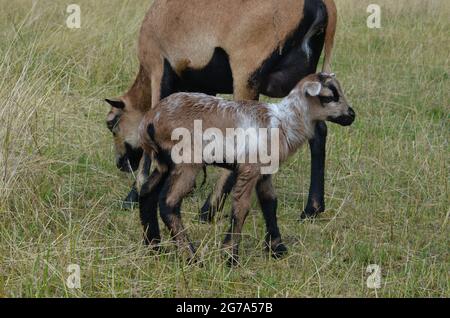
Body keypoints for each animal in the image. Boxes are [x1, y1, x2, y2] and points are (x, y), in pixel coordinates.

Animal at [137, 72, 356, 266]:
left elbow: (270, 203)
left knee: (147, 192)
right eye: (329, 97)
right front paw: (230, 256)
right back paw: (192, 257)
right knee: (168, 202)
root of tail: (150, 120)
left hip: (164, 162)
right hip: (187, 161)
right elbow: (241, 208)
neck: (284, 123)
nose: (351, 115)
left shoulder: (264, 171)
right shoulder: (249, 168)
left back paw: (154, 246)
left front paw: (277, 249)